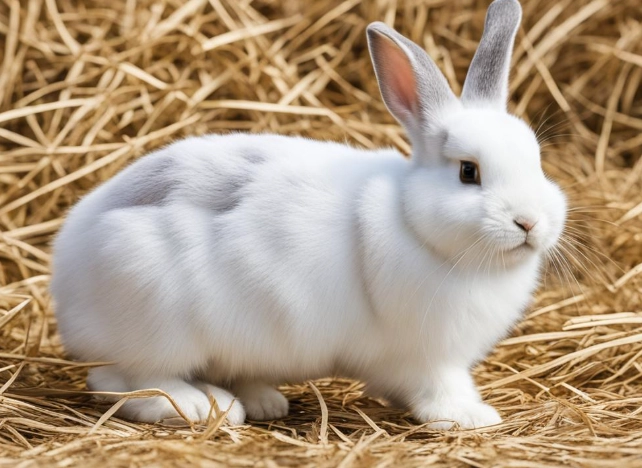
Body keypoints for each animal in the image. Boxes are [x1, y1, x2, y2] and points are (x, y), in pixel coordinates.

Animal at [51, 0, 566, 429]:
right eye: (467, 172)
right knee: (126, 382)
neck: (413, 223)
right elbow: (441, 388)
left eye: (538, 162)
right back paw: (204, 407)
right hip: (157, 322)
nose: (529, 222)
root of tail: (66, 273)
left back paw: (262, 400)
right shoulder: (426, 358)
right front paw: (473, 417)